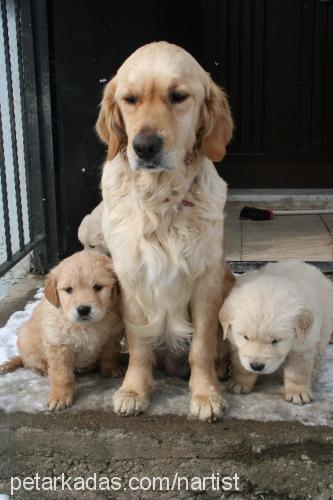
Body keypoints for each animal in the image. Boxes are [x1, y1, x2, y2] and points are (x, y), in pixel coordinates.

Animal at [0, 250, 122, 410]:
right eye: (68, 290)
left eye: (98, 287)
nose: (83, 310)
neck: (86, 325)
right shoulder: (59, 344)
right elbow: (62, 375)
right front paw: (60, 397)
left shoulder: (112, 334)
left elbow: (109, 354)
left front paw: (111, 369)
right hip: (25, 338)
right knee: (31, 362)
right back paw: (45, 370)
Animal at [98, 41, 233, 420]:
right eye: (130, 99)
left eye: (178, 96)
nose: (145, 146)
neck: (160, 201)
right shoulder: (131, 279)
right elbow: (140, 345)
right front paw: (133, 390)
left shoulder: (207, 280)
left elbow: (202, 346)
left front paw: (205, 394)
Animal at [218, 260, 332, 404]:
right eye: (245, 337)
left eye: (275, 341)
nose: (256, 366)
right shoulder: (236, 345)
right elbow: (240, 366)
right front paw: (240, 383)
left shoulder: (303, 345)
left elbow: (297, 372)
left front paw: (298, 392)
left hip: (324, 328)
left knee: (318, 354)